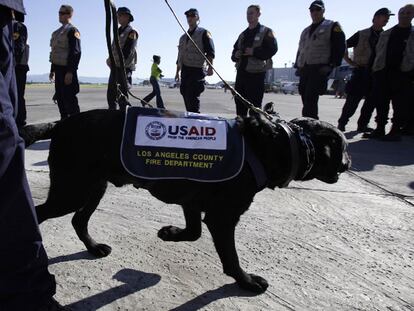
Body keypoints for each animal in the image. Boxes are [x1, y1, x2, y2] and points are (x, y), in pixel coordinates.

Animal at [22, 108, 350, 294]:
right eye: (343, 147)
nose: (348, 164)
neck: (273, 142)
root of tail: (60, 123)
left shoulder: (193, 202)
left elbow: (193, 232)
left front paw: (169, 234)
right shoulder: (222, 217)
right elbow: (230, 257)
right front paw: (245, 281)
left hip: (93, 187)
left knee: (78, 220)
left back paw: (93, 247)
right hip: (72, 190)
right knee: (40, 213)